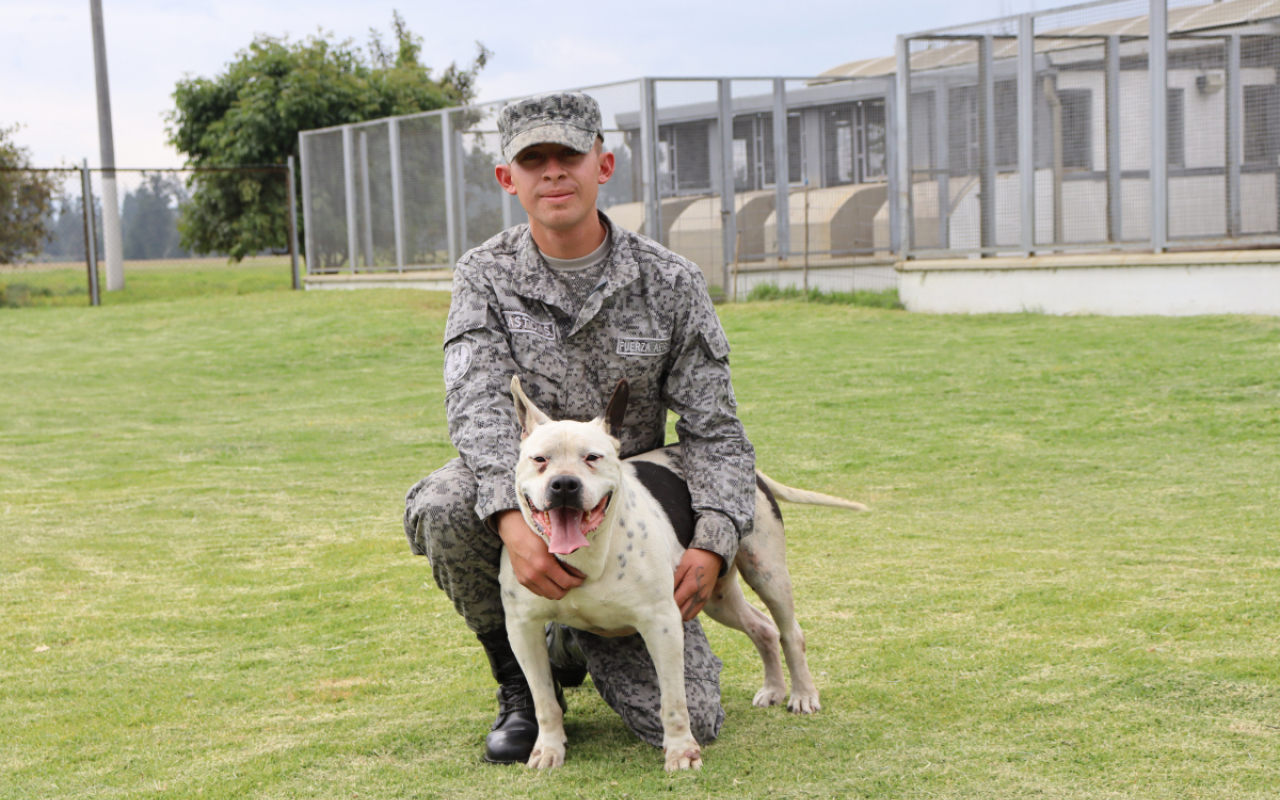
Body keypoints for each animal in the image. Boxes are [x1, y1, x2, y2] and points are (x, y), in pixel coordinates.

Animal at [501, 376, 870, 773]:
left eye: (592, 458)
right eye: (540, 459)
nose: (565, 484)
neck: (587, 553)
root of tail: (753, 472)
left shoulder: (662, 624)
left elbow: (675, 702)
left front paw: (681, 752)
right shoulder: (522, 629)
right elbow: (544, 701)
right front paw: (548, 748)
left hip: (766, 573)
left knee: (790, 632)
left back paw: (802, 695)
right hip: (716, 596)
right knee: (763, 628)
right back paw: (773, 689)